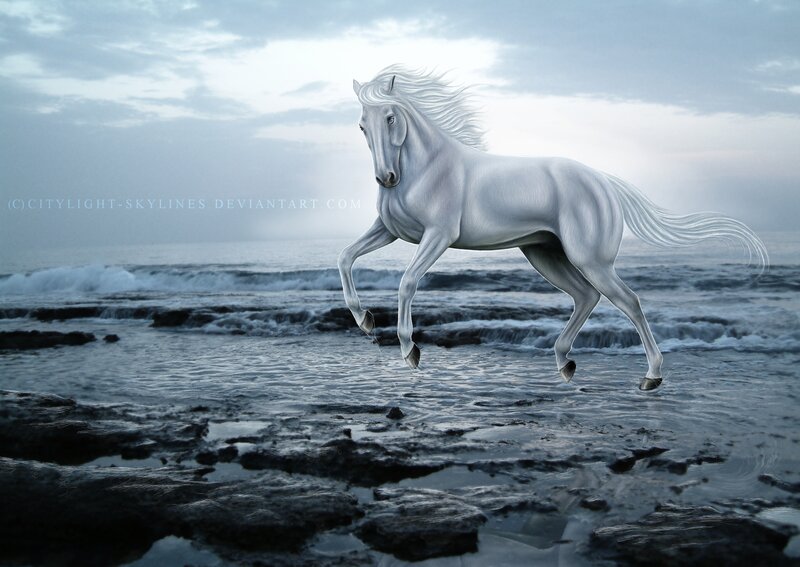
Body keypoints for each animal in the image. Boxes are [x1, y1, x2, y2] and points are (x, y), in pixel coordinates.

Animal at [338, 65, 768, 391]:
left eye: (390, 117)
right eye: (361, 126)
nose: (387, 178)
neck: (425, 167)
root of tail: (603, 181)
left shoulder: (438, 236)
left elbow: (407, 281)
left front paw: (409, 350)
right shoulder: (389, 230)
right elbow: (346, 257)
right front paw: (365, 321)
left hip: (589, 259)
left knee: (627, 300)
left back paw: (651, 376)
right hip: (544, 253)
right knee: (586, 297)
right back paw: (565, 363)